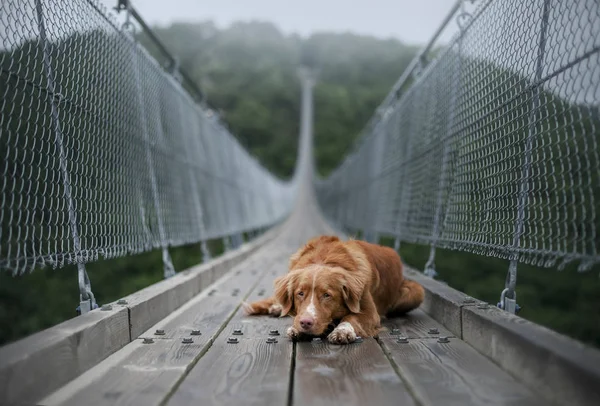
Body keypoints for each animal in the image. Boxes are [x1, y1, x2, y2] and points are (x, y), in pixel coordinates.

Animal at [241, 236, 424, 344]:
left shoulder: (369, 311)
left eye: (327, 295)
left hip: (416, 291)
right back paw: (275, 307)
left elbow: (352, 318)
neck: (323, 259)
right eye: (300, 293)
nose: (305, 323)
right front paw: (295, 327)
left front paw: (343, 331)